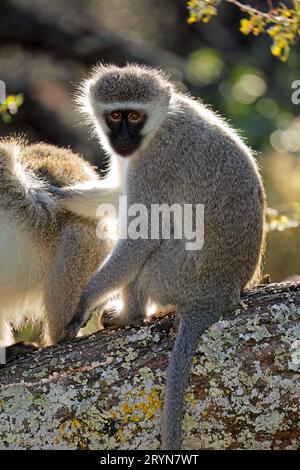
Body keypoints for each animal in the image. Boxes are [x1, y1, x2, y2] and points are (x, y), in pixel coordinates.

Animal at [58, 64, 264, 450]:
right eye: (116, 115)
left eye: (135, 116)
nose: (123, 138)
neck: (158, 125)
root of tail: (219, 294)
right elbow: (117, 192)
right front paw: (49, 192)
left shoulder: (155, 162)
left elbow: (143, 235)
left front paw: (82, 304)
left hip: (177, 275)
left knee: (148, 257)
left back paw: (130, 316)